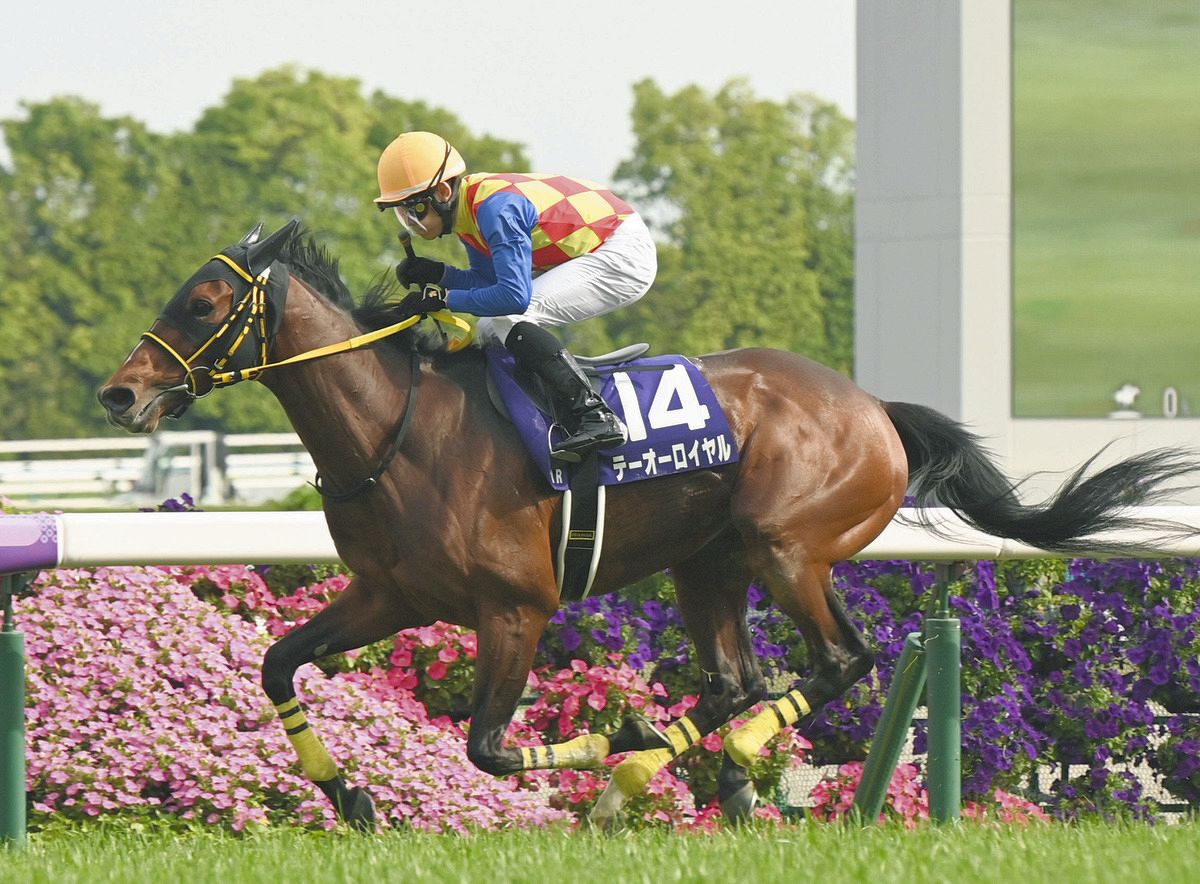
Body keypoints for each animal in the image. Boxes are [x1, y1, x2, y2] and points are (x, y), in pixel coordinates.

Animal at [98, 220, 1198, 829]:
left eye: (204, 302)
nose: (121, 392)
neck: (399, 429)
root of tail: (873, 406)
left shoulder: (518, 606)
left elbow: (488, 747)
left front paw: (604, 749)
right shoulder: (388, 594)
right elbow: (280, 664)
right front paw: (353, 798)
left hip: (788, 547)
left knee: (838, 660)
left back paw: (690, 760)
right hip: (707, 563)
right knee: (734, 679)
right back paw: (674, 767)